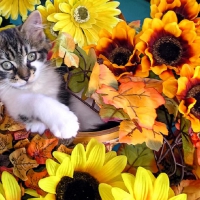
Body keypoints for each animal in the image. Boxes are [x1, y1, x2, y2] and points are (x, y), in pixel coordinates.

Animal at [0, 10, 104, 138]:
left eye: (31, 56)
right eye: (6, 65)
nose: (26, 77)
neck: (33, 87)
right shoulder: (9, 98)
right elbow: (32, 100)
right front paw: (62, 122)